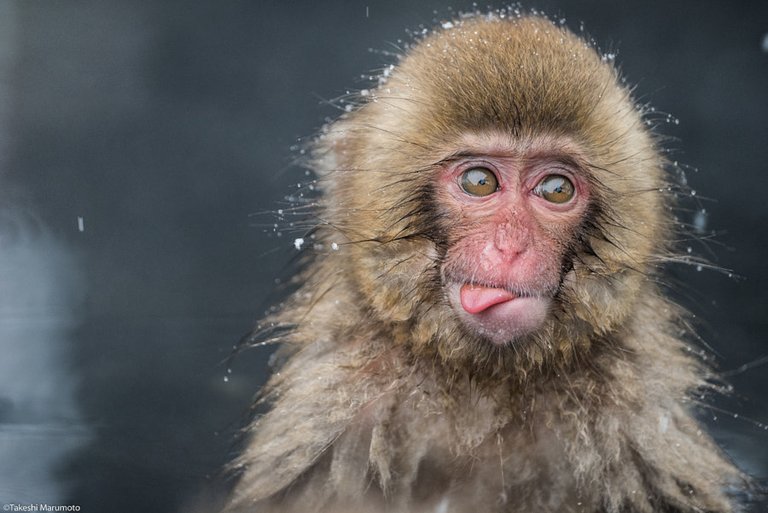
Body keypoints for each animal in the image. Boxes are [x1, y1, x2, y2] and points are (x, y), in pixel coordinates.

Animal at [225, 9, 748, 512]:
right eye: (479, 181)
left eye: (556, 189)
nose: (510, 247)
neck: (482, 381)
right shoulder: (333, 417)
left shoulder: (639, 435)